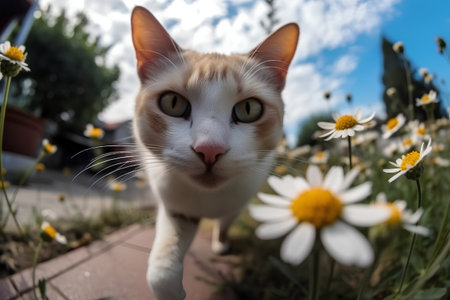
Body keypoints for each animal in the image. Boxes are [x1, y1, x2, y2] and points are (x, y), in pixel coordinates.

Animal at [130, 5, 298, 300]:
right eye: (173, 103)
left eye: (249, 109)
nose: (210, 149)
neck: (208, 199)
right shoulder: (176, 209)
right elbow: (161, 269)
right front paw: (173, 291)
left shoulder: (237, 204)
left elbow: (225, 224)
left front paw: (221, 243)